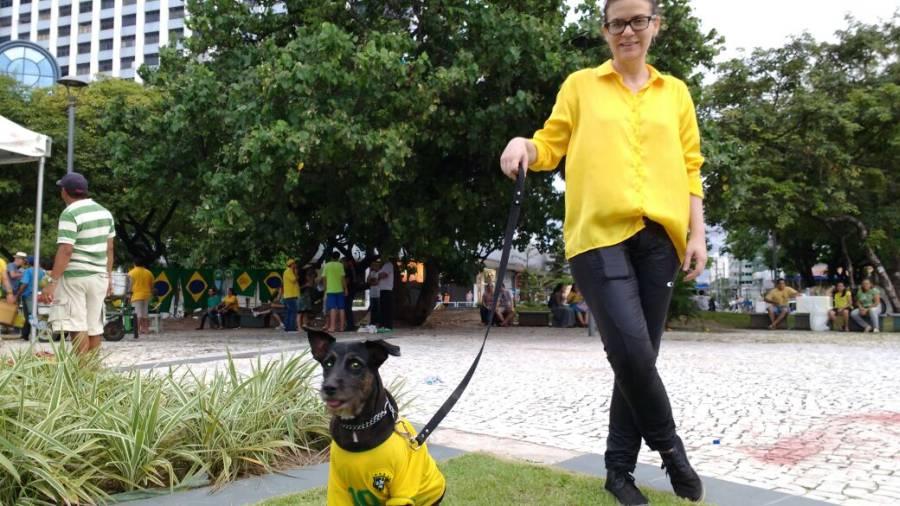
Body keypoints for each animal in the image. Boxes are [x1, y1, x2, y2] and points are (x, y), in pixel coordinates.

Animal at [308, 326, 448, 504]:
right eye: (328, 363)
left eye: (355, 364)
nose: (328, 387)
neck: (356, 427)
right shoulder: (338, 486)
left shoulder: (401, 491)